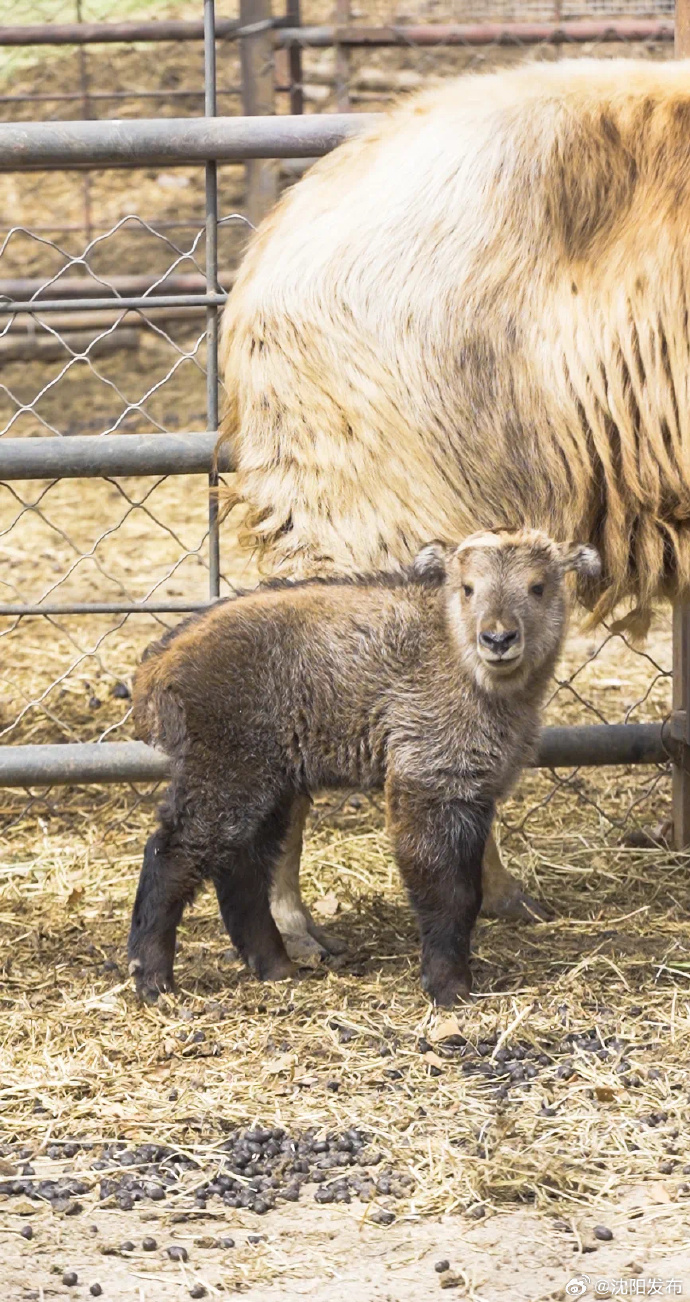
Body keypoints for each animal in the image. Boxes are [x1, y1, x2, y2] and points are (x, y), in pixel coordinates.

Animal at [127, 528, 596, 1005]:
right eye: (468, 588)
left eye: (538, 587)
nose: (498, 639)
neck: (453, 652)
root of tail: (158, 665)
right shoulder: (425, 778)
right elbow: (447, 892)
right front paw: (449, 986)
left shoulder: (474, 791)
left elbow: (470, 889)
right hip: (226, 772)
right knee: (172, 855)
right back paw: (153, 978)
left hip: (267, 785)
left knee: (242, 873)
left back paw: (276, 968)